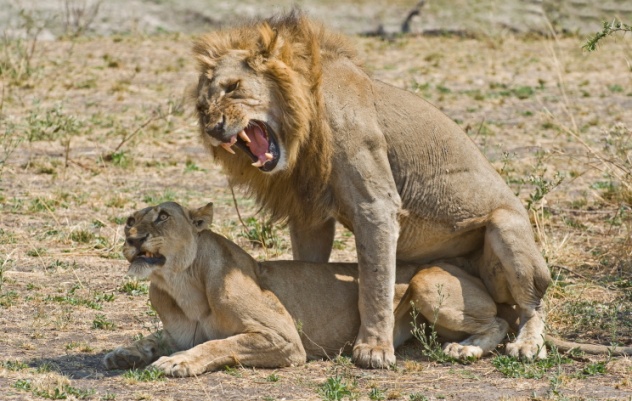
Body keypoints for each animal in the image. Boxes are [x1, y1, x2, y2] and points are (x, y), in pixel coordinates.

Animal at [102, 203, 628, 376]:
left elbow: (216, 344)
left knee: (501, 319)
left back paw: (467, 351)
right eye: (129, 217)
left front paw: (174, 364)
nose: (131, 233)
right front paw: (123, 354)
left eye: (161, 216)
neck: (180, 284)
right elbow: (154, 339)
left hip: (427, 281)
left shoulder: (284, 341)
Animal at [195, 10, 552, 368]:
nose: (213, 129)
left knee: (530, 307)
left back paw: (526, 345)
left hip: (506, 228)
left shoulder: (376, 204)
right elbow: (310, 267)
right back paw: (466, 347)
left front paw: (374, 348)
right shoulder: (311, 216)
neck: (303, 124)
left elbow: (375, 283)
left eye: (233, 87)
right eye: (201, 107)